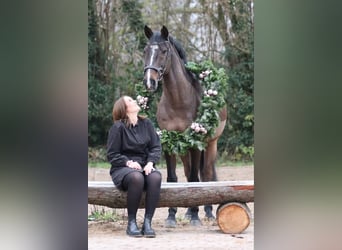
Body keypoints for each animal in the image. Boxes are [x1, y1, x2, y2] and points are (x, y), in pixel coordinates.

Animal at [142, 25, 227, 227]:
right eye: (145, 51)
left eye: (164, 51)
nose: (149, 82)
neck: (178, 101)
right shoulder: (168, 142)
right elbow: (174, 178)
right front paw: (171, 216)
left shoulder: (195, 143)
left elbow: (196, 178)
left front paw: (196, 216)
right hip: (182, 148)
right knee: (189, 173)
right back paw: (188, 212)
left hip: (210, 144)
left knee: (206, 174)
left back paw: (207, 213)